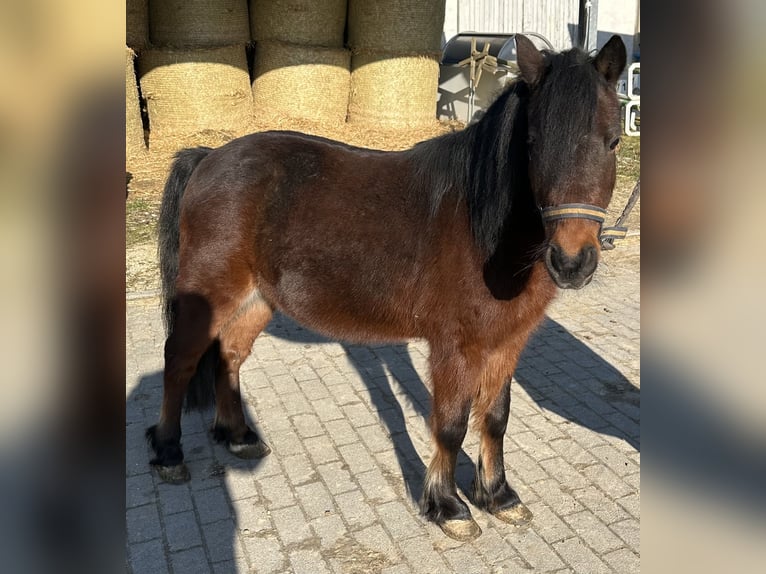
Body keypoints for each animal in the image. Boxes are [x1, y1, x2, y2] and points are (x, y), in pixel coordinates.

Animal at [147, 37, 628, 544]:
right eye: (532, 144)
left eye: (613, 140)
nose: (571, 261)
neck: (484, 228)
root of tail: (208, 156)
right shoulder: (456, 346)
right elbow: (451, 424)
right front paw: (449, 506)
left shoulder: (506, 342)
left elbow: (496, 417)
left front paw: (498, 495)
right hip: (210, 293)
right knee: (179, 362)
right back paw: (169, 453)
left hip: (254, 299)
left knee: (230, 355)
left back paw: (239, 436)